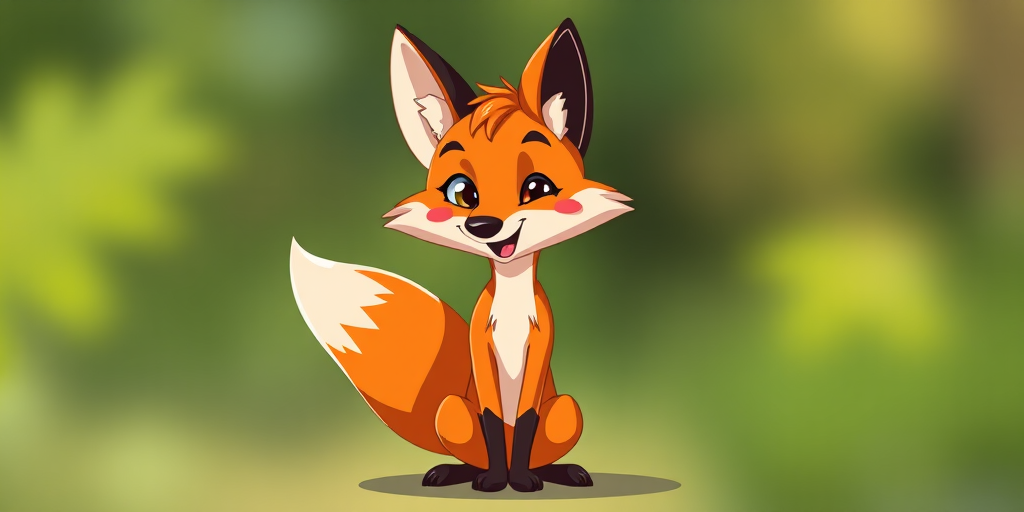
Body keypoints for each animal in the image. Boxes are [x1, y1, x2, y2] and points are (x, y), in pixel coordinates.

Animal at [289, 18, 631, 492]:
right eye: (461, 193)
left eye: (537, 188)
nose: (483, 226)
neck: (510, 302)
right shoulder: (479, 346)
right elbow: (491, 418)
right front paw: (496, 481)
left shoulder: (541, 344)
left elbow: (524, 419)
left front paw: (520, 480)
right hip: (451, 408)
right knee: (472, 451)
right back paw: (458, 471)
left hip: (567, 409)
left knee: (540, 448)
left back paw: (557, 471)